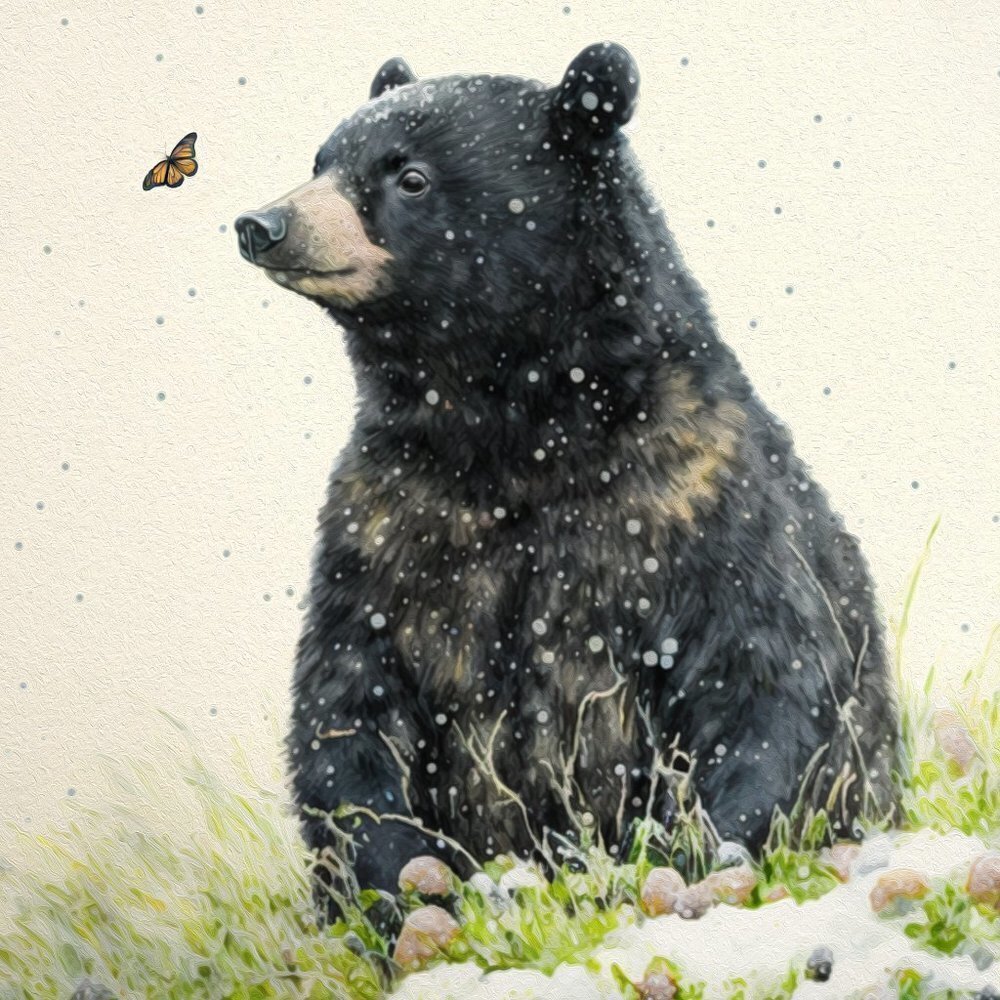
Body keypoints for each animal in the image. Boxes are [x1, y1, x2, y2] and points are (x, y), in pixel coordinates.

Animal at [235, 41, 899, 910]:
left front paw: (700, 853)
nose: (263, 224)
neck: (516, 432)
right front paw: (400, 885)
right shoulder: (389, 521)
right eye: (322, 159)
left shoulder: (697, 500)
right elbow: (348, 697)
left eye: (408, 175)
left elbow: (766, 672)